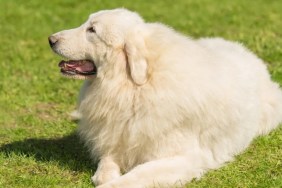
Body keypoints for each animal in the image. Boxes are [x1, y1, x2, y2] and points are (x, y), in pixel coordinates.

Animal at [48, 8, 282, 187]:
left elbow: (137, 174)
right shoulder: (117, 137)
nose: (50, 39)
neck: (135, 89)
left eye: (92, 30)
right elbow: (106, 165)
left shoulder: (183, 158)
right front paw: (105, 175)